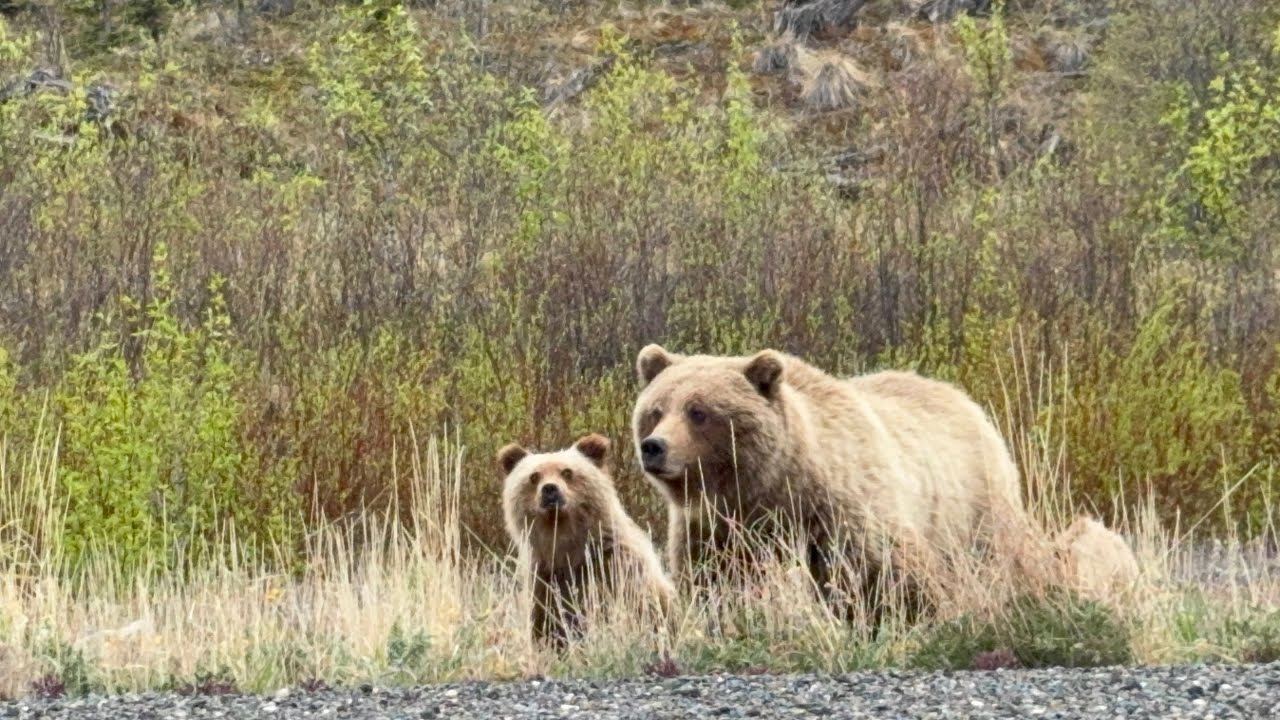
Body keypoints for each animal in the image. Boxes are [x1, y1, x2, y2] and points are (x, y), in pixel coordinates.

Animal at [498, 433, 676, 649]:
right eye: (534, 476)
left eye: (567, 472)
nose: (550, 489)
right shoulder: (545, 581)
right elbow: (547, 627)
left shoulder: (616, 567)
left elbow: (639, 607)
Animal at [630, 344, 1042, 625]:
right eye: (656, 410)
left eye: (698, 411)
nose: (654, 447)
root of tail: (964, 399)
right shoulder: (715, 528)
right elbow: (715, 582)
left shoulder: (839, 509)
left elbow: (888, 569)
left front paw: (919, 613)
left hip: (975, 509)